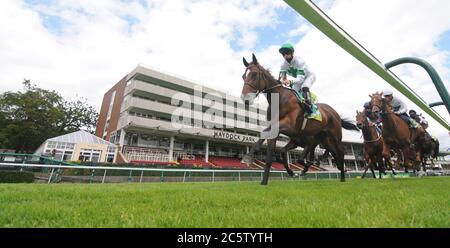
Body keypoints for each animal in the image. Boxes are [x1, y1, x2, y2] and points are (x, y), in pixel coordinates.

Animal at [239, 54, 358, 186]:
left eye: (254, 74)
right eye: (243, 76)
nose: (245, 98)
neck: (280, 99)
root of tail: (335, 113)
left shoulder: (289, 125)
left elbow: (266, 133)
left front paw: (249, 155)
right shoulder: (281, 131)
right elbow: (270, 154)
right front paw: (265, 181)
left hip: (336, 136)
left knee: (340, 153)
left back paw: (341, 176)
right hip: (324, 138)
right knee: (333, 153)